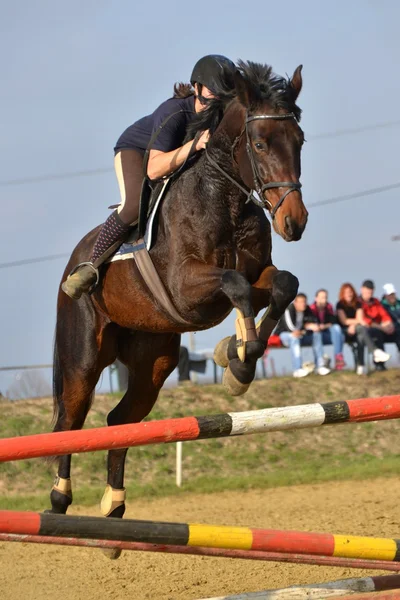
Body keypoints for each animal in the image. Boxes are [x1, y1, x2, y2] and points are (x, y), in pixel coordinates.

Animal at [49, 61, 306, 552]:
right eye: (260, 144)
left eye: (299, 140)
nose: (294, 222)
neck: (225, 196)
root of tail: (72, 260)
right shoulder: (187, 285)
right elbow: (236, 286)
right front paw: (238, 360)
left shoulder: (259, 273)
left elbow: (283, 284)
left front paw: (236, 358)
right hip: (84, 357)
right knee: (70, 419)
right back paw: (59, 499)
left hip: (155, 361)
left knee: (120, 420)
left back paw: (114, 509)